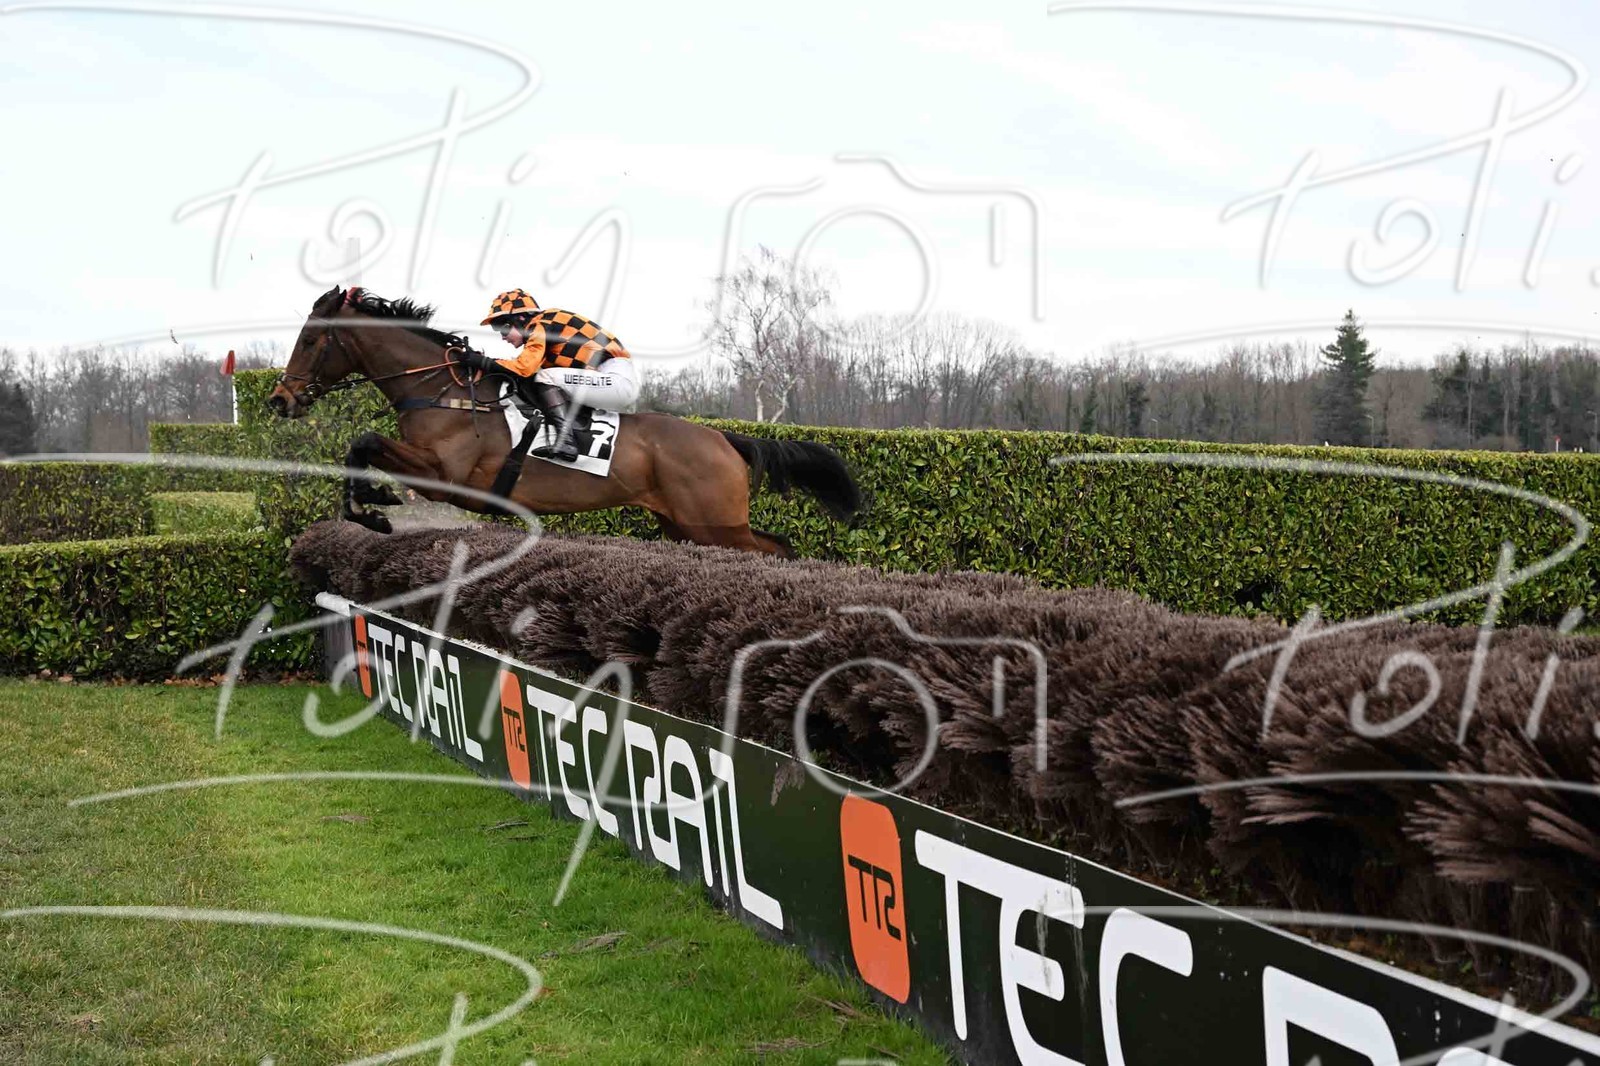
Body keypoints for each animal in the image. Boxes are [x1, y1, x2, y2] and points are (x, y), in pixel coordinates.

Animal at [266, 286, 863, 556]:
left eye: (311, 340)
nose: (278, 399)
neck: (440, 390)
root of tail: (723, 438)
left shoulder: (446, 475)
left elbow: (364, 440)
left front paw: (375, 506)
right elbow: (358, 447)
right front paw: (373, 505)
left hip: (712, 521)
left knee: (774, 550)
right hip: (683, 523)